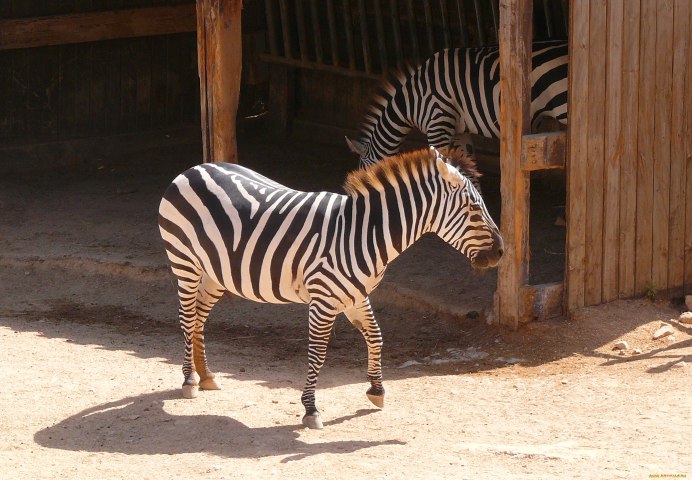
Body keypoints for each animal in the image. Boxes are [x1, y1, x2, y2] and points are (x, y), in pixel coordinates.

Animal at [157, 147, 502, 432]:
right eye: (474, 208)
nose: (500, 253)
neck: (364, 234)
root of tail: (193, 168)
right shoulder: (324, 299)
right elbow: (318, 353)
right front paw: (310, 409)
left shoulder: (355, 295)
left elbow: (376, 336)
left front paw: (376, 390)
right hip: (185, 262)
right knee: (187, 318)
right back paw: (189, 380)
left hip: (216, 273)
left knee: (199, 319)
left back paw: (206, 376)